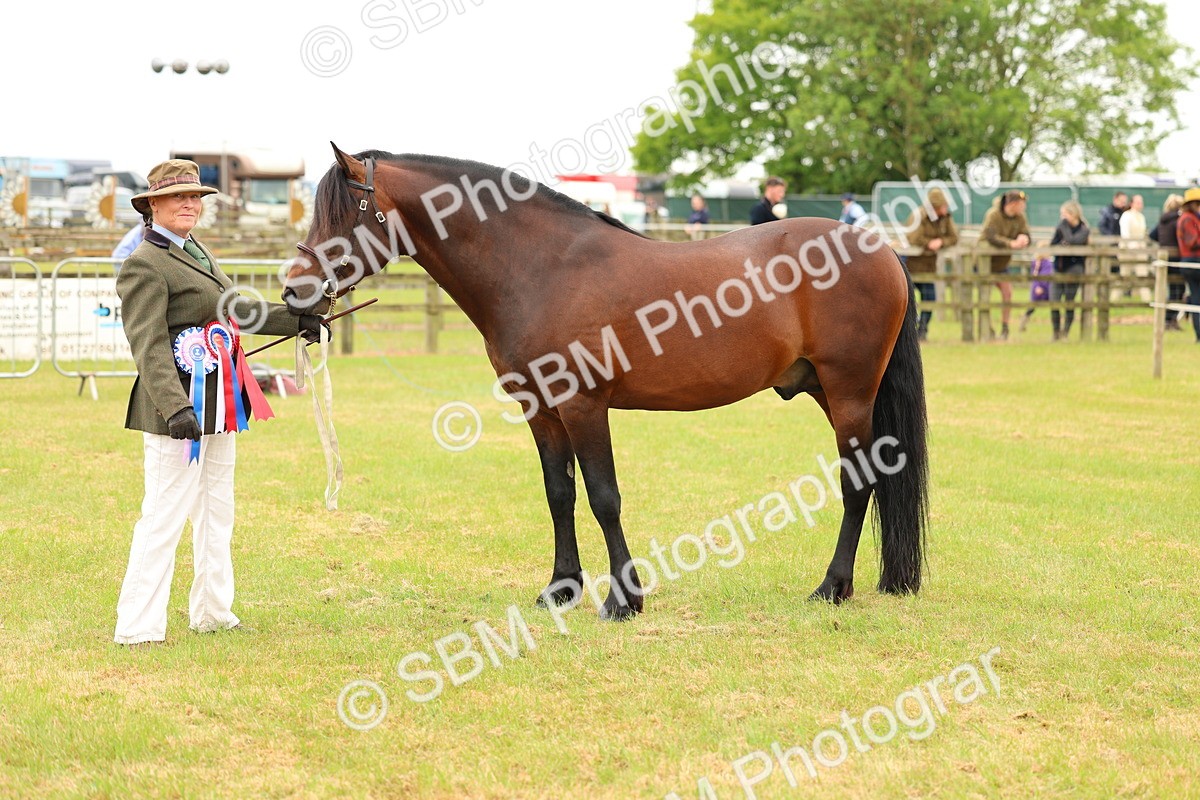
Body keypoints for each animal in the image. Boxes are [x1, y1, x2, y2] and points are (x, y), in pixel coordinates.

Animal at [282, 144, 928, 620]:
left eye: (346, 211)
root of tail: (880, 247)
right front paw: (561, 589)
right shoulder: (540, 409)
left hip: (849, 394)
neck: (540, 267)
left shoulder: (583, 405)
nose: (293, 291)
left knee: (857, 483)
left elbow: (603, 497)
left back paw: (832, 587)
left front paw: (624, 599)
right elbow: (560, 495)